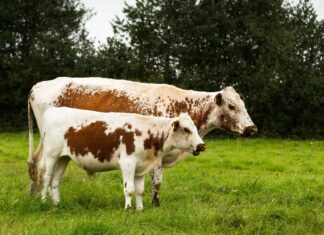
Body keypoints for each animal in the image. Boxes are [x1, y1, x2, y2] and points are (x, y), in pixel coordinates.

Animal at [39, 107, 204, 210]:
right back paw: (43, 202)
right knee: (46, 179)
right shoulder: (128, 164)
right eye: (186, 129)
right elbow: (129, 189)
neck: (147, 133)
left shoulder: (141, 167)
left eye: (195, 128)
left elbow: (140, 190)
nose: (202, 145)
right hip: (51, 155)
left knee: (55, 181)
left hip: (63, 158)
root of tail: (54, 110)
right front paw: (128, 209)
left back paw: (57, 204)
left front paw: (140, 209)